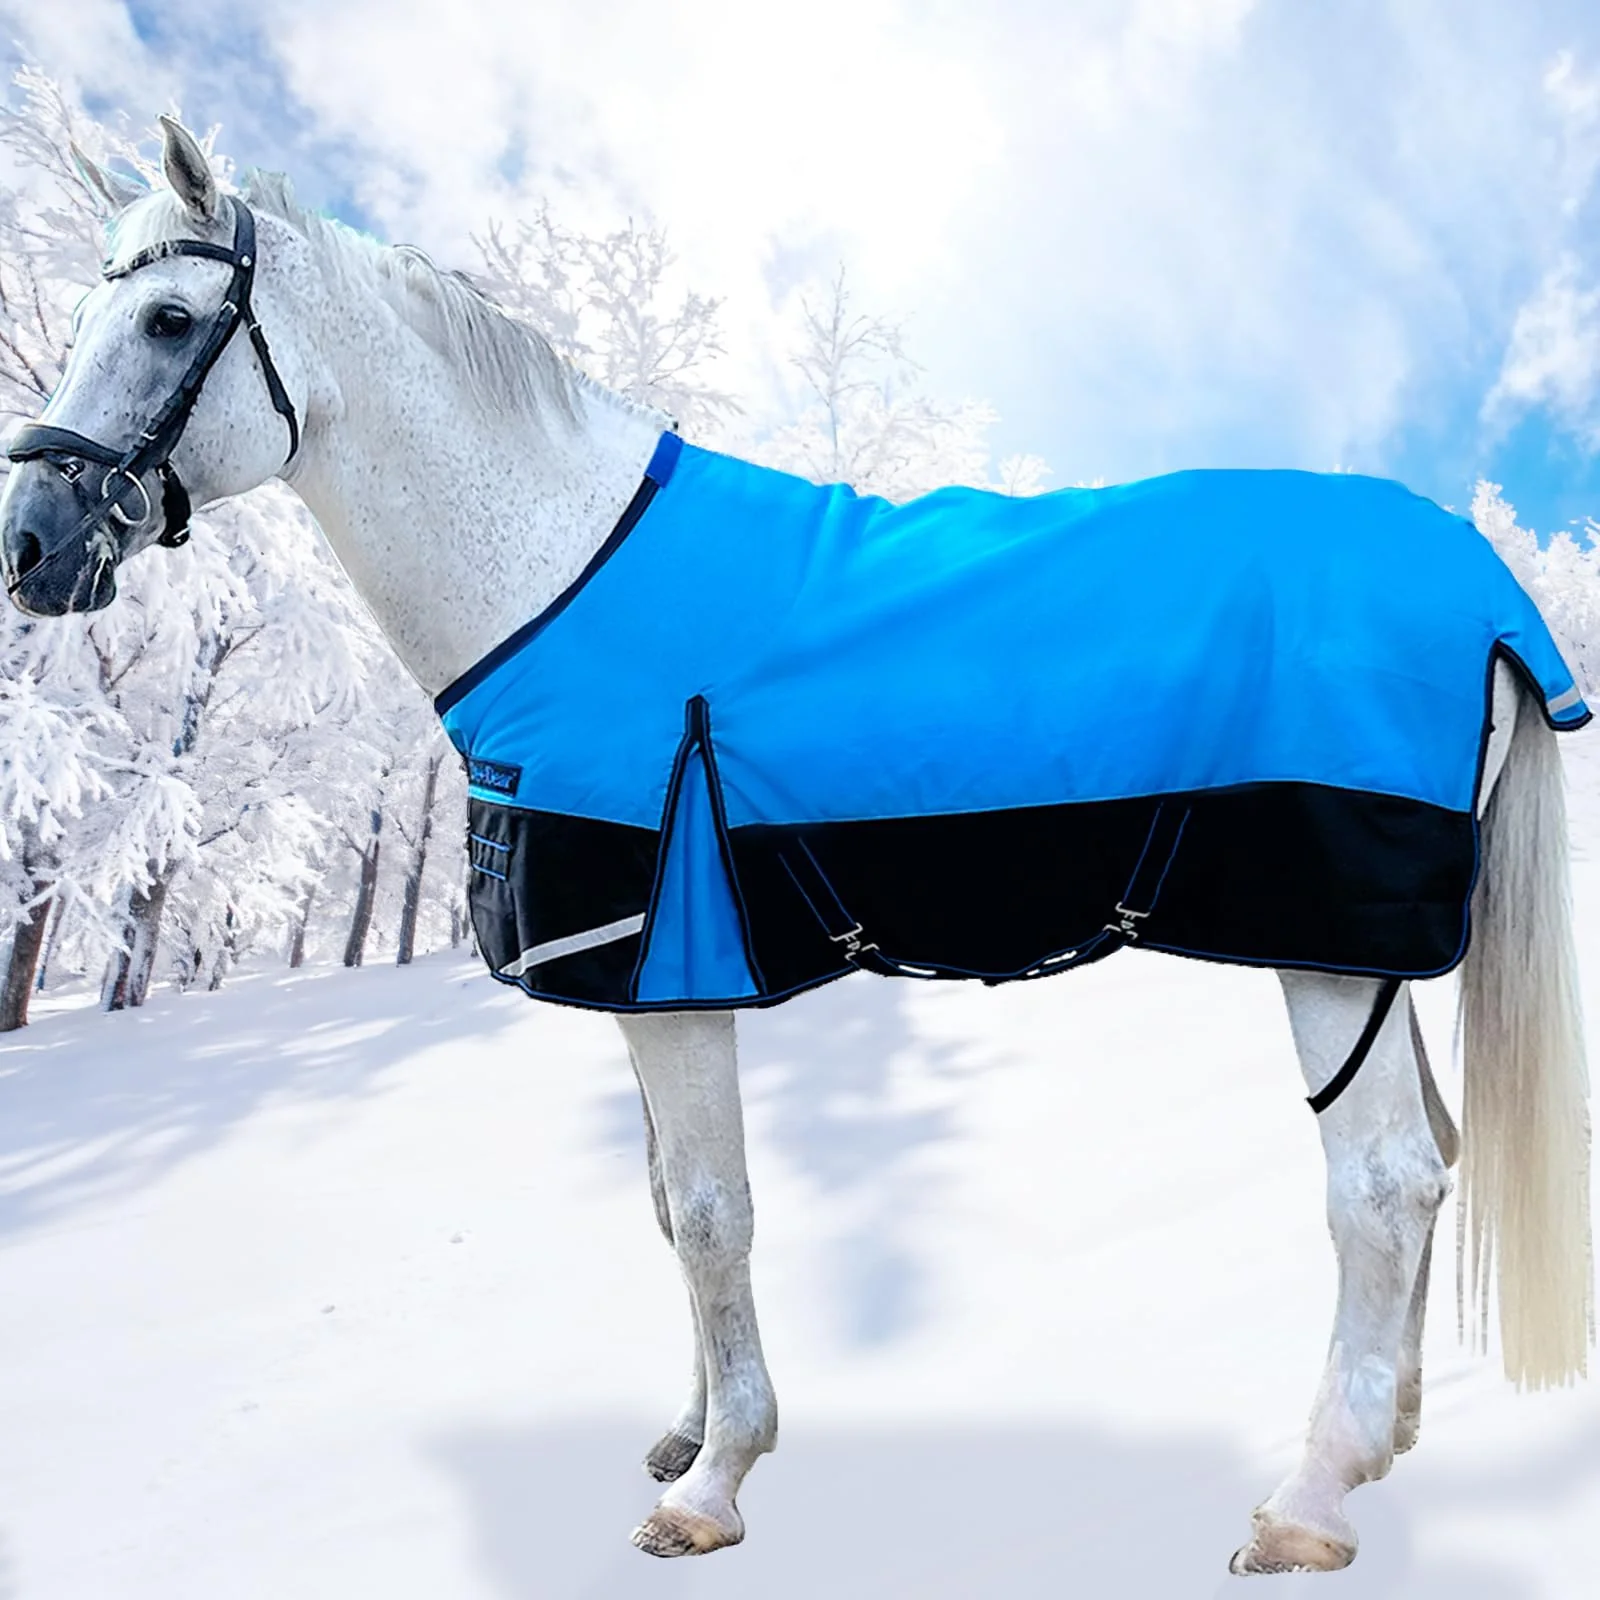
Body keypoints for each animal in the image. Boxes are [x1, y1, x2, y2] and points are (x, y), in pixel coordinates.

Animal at [0, 117, 1591, 1576]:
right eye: (79, 318)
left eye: (167, 320)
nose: (30, 544)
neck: (560, 569)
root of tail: (1481, 579)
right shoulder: (635, 984)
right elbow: (664, 1208)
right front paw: (688, 1430)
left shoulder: (673, 979)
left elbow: (713, 1214)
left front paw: (716, 1484)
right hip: (1363, 957)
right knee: (1428, 1158)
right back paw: (1387, 1438)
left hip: (1326, 952)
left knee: (1381, 1185)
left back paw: (1311, 1496)